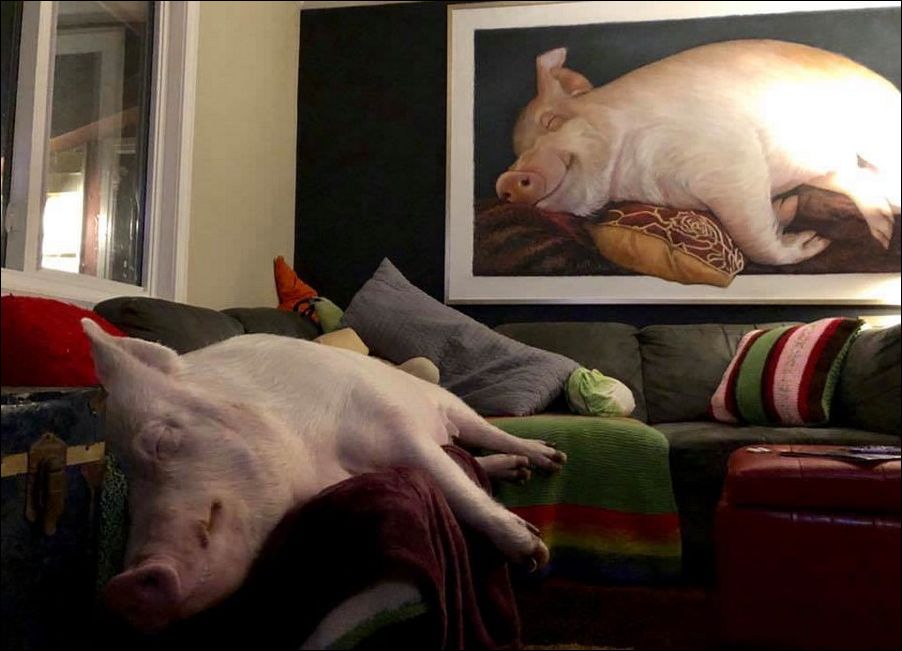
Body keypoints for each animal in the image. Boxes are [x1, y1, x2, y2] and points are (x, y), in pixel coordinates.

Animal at [82, 319, 565, 632]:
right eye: (126, 496)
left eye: (161, 441)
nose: (122, 589)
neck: (320, 463)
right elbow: (450, 471)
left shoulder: (389, 422)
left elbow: (448, 480)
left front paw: (533, 554)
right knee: (468, 454)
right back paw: (516, 469)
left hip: (449, 404)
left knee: (483, 432)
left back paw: (546, 459)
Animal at [495, 40, 901, 265]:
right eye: (517, 150)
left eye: (551, 122)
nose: (507, 180)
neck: (632, 175)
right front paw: (788, 210)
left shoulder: (730, 158)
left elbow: (753, 238)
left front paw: (814, 244)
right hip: (827, 166)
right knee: (858, 178)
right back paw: (883, 233)